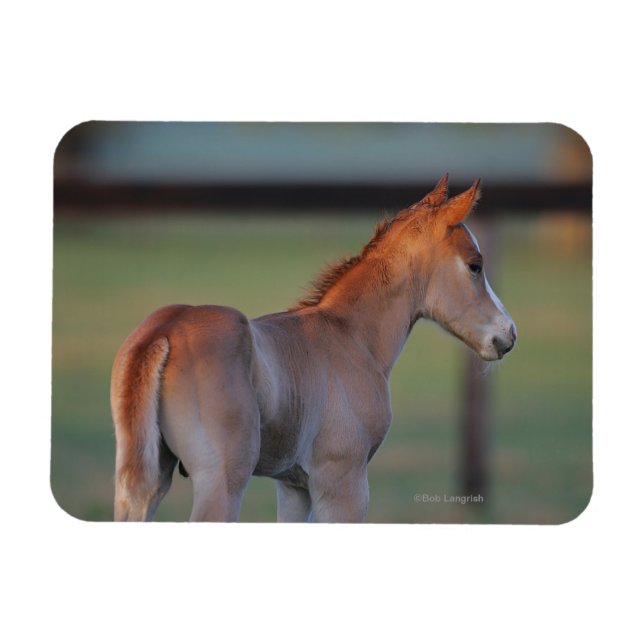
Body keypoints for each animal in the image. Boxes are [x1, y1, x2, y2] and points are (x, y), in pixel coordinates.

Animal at [111, 174, 516, 522]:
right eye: (475, 265)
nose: (508, 334)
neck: (350, 338)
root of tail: (164, 331)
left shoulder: (294, 486)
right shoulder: (343, 482)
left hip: (144, 478)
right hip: (222, 479)